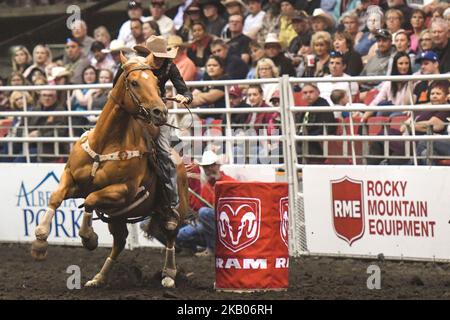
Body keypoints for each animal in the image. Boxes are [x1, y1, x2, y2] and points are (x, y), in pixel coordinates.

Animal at [29, 52, 188, 288]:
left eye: (155, 82)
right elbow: (56, 197)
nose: (160, 112)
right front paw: (39, 243)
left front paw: (89, 237)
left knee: (170, 235)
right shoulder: (72, 179)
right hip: (117, 217)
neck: (106, 143)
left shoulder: (124, 191)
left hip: (171, 210)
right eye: (134, 82)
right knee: (119, 242)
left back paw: (168, 275)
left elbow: (91, 199)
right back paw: (99, 277)